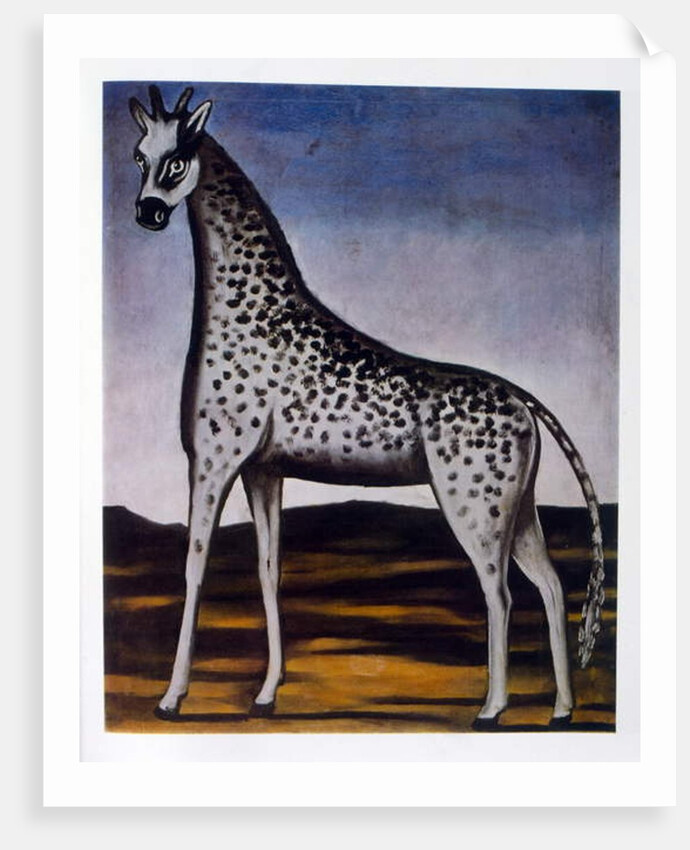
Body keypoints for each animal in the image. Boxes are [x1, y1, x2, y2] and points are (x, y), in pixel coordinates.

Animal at [128, 86, 605, 729]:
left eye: (178, 159)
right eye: (139, 155)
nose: (148, 213)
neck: (249, 311)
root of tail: (525, 401)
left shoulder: (212, 461)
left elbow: (195, 567)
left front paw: (172, 698)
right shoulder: (263, 470)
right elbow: (269, 572)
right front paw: (266, 694)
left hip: (473, 506)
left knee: (500, 591)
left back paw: (492, 708)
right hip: (516, 505)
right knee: (552, 586)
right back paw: (560, 710)